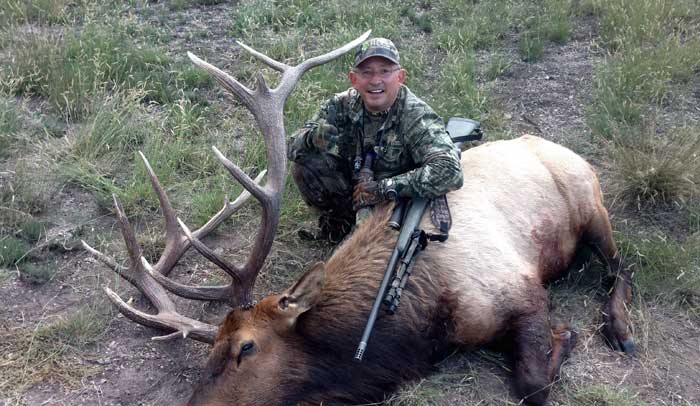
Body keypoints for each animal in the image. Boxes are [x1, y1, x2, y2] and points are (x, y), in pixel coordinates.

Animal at [82, 32, 636, 406]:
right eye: (210, 351)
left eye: (246, 348)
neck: (420, 323)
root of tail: (559, 146)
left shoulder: (522, 291)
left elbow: (532, 383)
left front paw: (570, 336)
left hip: (592, 206)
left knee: (621, 266)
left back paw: (620, 329)